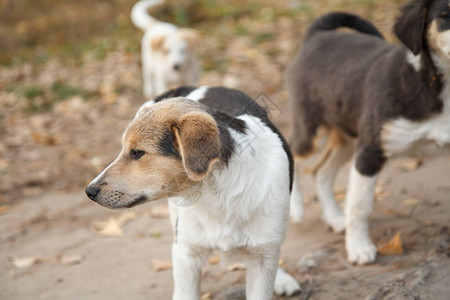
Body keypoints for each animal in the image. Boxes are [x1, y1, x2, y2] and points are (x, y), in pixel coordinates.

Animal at [286, 0, 450, 264]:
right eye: (446, 14)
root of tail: (317, 35)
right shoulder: (370, 151)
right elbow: (360, 207)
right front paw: (359, 248)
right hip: (311, 130)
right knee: (293, 152)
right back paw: (296, 208)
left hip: (348, 136)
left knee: (322, 171)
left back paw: (335, 218)